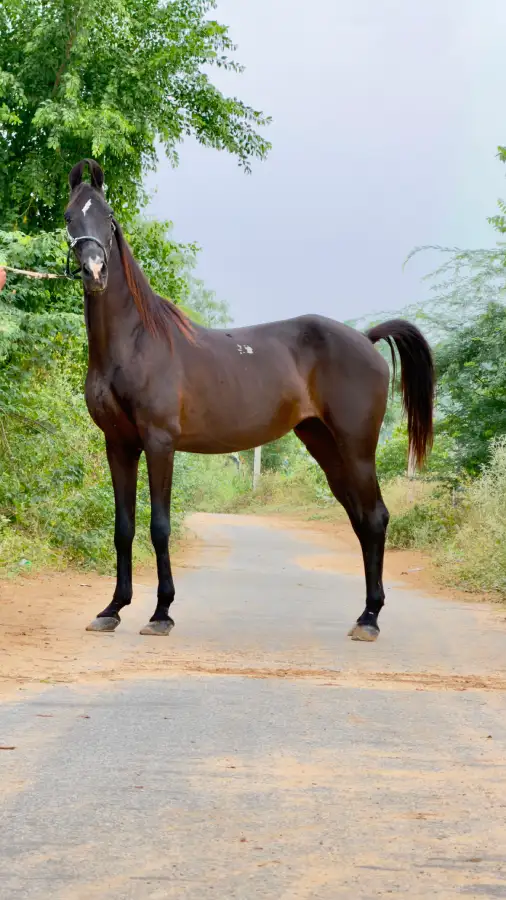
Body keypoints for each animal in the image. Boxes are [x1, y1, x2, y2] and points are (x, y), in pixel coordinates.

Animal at [65, 159, 434, 642]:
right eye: (70, 217)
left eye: (108, 218)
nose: (95, 271)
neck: (137, 342)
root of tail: (366, 338)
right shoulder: (119, 444)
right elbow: (123, 528)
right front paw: (113, 609)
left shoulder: (159, 443)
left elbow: (159, 526)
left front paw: (161, 613)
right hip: (324, 445)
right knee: (359, 518)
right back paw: (365, 614)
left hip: (357, 448)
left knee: (375, 517)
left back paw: (370, 619)